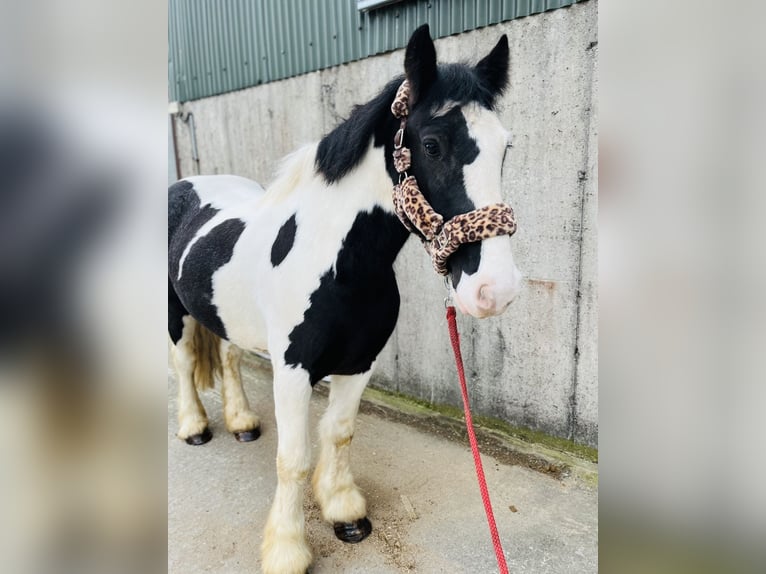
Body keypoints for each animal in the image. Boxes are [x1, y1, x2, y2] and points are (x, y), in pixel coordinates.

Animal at [168, 24, 522, 574]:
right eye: (432, 144)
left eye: (504, 148)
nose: (494, 290)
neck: (337, 264)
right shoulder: (293, 371)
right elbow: (293, 458)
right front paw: (287, 549)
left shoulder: (360, 363)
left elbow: (338, 433)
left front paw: (344, 512)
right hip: (176, 312)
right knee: (185, 362)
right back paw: (194, 427)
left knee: (227, 356)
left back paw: (242, 422)